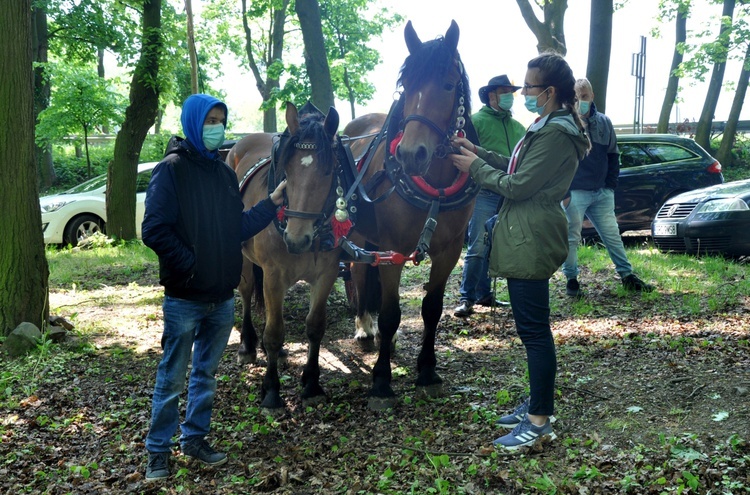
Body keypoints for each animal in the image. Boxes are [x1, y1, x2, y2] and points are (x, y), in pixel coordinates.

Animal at [228, 101, 346, 410]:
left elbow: (315, 327)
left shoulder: (326, 274)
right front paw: (271, 389)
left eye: (328, 171)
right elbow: (274, 333)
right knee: (247, 292)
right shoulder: (273, 276)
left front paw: (312, 382)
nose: (296, 237)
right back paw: (247, 345)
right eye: (287, 170)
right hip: (245, 261)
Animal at [342, 19, 478, 408]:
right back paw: (364, 327)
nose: (410, 154)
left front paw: (427, 370)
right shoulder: (395, 249)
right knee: (358, 270)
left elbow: (431, 308)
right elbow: (391, 314)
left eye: (447, 84)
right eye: (406, 87)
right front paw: (382, 380)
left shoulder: (449, 250)